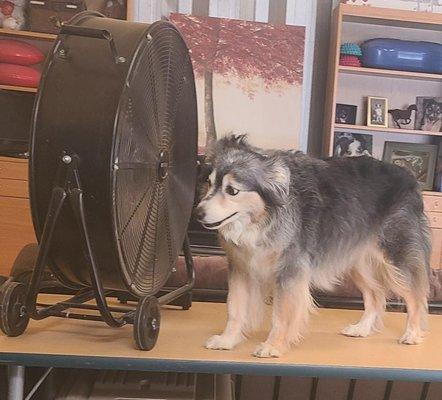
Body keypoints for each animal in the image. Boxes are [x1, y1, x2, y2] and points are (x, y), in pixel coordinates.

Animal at [195, 136, 430, 358]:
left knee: (416, 295)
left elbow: (281, 314)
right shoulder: (240, 268)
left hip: (396, 257)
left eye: (232, 191)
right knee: (376, 293)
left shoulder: (289, 271)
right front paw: (228, 339)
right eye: (209, 183)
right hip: (356, 260)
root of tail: (409, 176)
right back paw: (362, 328)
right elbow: (234, 308)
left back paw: (412, 333)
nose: (198, 212)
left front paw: (273, 345)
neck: (264, 217)